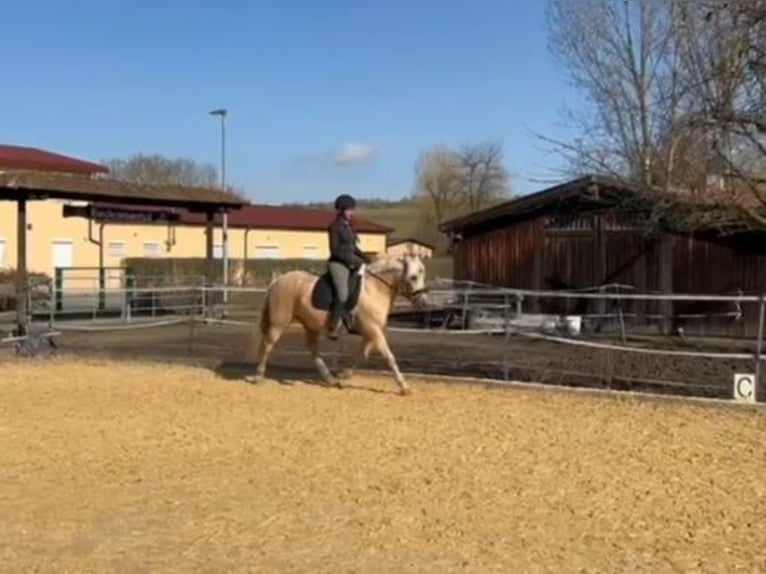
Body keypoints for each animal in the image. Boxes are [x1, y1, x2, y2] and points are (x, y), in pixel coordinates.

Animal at [248, 256, 428, 396]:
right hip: (279, 322)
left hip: (309, 325)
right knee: (268, 344)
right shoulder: (374, 330)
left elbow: (362, 355)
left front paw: (344, 375)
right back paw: (258, 376)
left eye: (422, 274)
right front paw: (404, 387)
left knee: (312, 350)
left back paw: (330, 379)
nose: (423, 303)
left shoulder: (371, 332)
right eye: (413, 277)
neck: (374, 290)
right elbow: (389, 357)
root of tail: (278, 280)